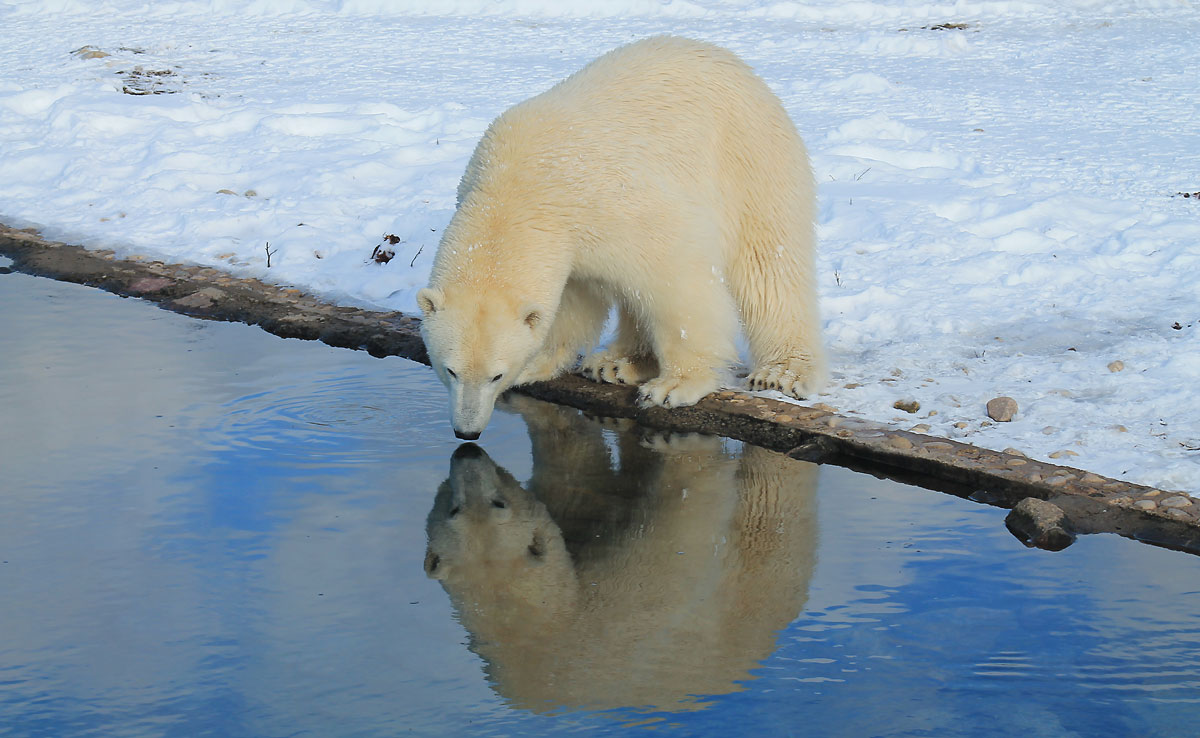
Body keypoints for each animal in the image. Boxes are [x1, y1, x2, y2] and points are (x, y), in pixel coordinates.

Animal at [417, 34, 820, 439]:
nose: (467, 431)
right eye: (450, 370)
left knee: (768, 266)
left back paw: (781, 373)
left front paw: (675, 385)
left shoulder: (613, 202)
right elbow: (575, 297)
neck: (516, 185)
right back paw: (617, 363)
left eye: (495, 375)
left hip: (749, 160)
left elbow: (676, 281)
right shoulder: (566, 235)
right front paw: (538, 363)